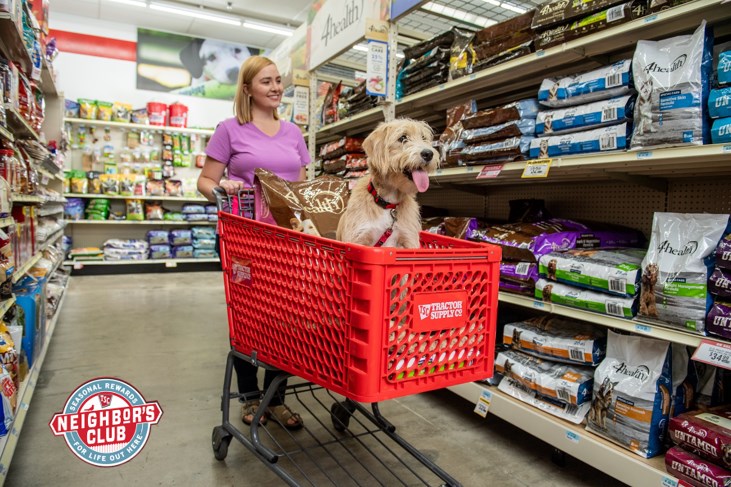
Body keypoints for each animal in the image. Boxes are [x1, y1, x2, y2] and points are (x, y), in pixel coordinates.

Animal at [336, 119, 439, 248]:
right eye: (402, 138)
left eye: (423, 138)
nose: (428, 153)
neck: (389, 203)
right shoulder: (358, 239)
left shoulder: (409, 239)